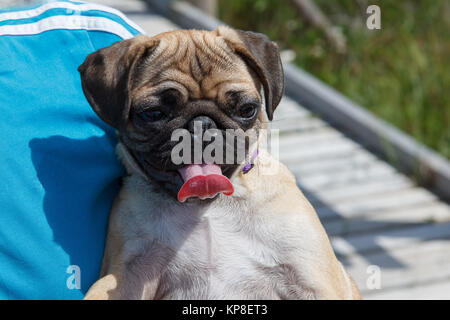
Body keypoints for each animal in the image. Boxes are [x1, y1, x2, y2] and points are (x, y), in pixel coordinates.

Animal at [77, 27, 358, 300]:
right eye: (153, 114)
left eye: (247, 109)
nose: (202, 124)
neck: (208, 205)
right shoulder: (127, 273)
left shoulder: (312, 277)